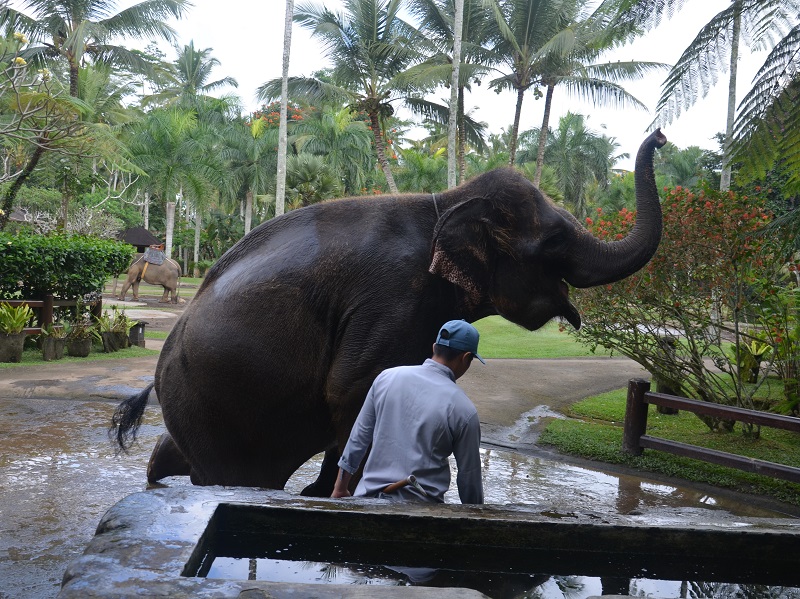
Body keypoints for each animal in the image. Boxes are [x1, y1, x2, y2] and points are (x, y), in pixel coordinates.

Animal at [111, 129, 668, 494]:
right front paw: (333, 494)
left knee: (187, 457)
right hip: (210, 398)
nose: (661, 136)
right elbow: (352, 388)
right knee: (233, 475)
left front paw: (321, 493)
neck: (448, 200)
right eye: (553, 242)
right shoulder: (391, 297)